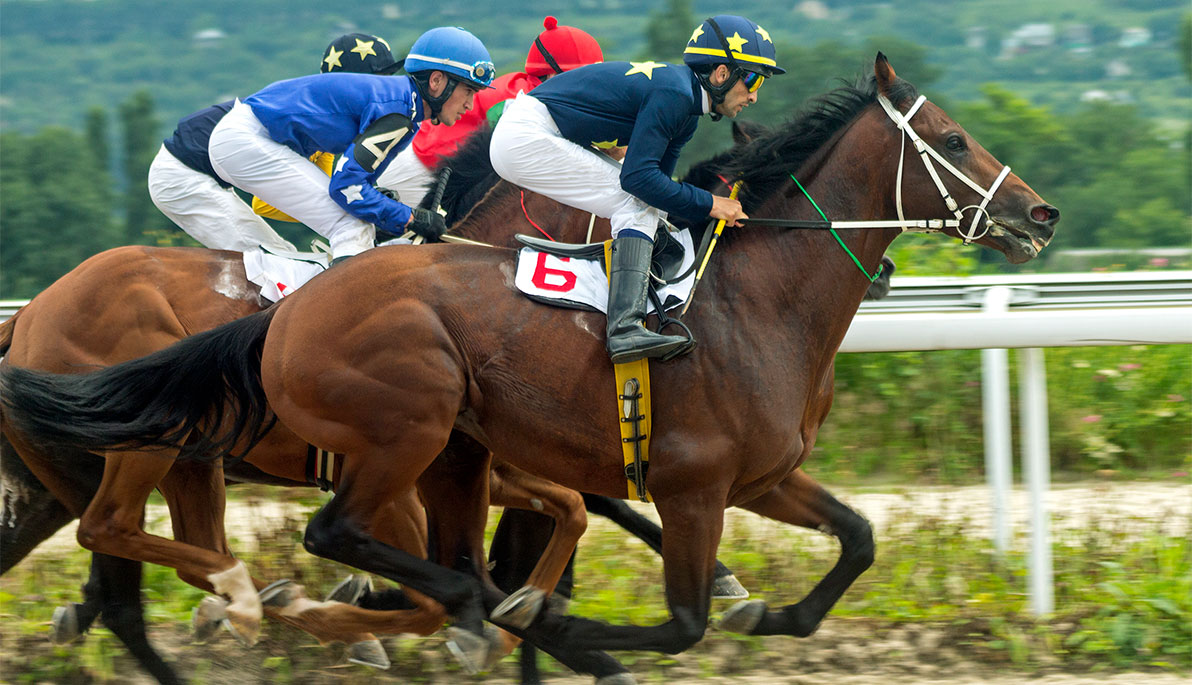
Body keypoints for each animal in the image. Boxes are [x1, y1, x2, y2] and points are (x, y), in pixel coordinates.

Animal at [0, 54, 1053, 676]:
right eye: (953, 140)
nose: (1037, 213)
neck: (751, 302)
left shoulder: (757, 475)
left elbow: (856, 540)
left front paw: (748, 610)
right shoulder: (690, 483)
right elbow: (664, 610)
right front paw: (563, 627)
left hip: (225, 458)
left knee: (119, 561)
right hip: (359, 434)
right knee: (210, 544)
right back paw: (259, 598)